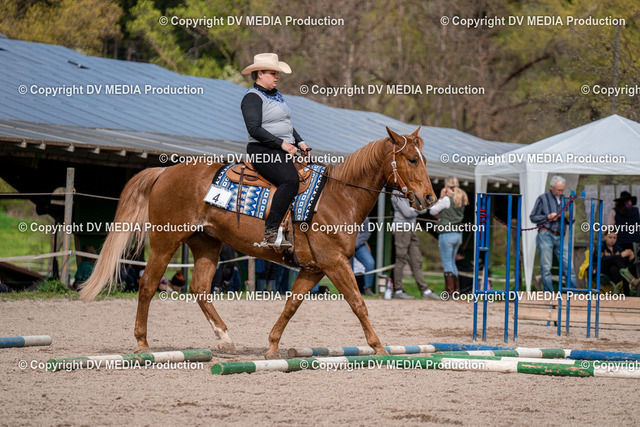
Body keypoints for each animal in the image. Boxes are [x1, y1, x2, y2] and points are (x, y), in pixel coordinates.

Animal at [80, 127, 437, 359]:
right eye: (412, 159)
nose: (429, 198)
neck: (337, 196)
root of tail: (163, 173)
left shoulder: (313, 268)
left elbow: (291, 305)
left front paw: (273, 346)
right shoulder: (335, 263)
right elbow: (358, 303)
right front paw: (379, 347)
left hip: (206, 244)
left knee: (199, 289)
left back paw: (224, 340)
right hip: (166, 242)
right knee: (147, 285)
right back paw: (142, 344)